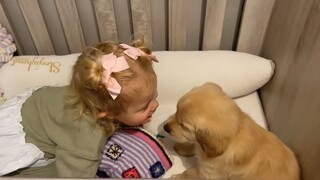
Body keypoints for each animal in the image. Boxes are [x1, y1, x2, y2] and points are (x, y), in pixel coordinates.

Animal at [164, 82, 302, 179]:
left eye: (183, 126)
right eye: (176, 111)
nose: (165, 128)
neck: (237, 132)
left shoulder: (210, 174)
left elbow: (189, 173)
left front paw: (176, 177)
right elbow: (195, 145)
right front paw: (181, 147)